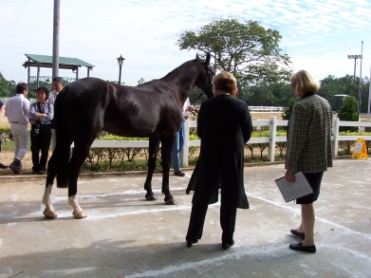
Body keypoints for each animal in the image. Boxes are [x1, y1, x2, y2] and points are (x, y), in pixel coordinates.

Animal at [42, 53, 214, 219]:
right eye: (211, 72)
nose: (212, 93)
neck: (170, 91)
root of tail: (67, 89)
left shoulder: (155, 136)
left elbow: (151, 163)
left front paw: (149, 193)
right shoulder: (169, 135)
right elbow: (165, 163)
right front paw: (168, 196)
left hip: (67, 135)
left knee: (52, 164)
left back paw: (49, 209)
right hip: (83, 138)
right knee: (74, 167)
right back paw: (77, 209)